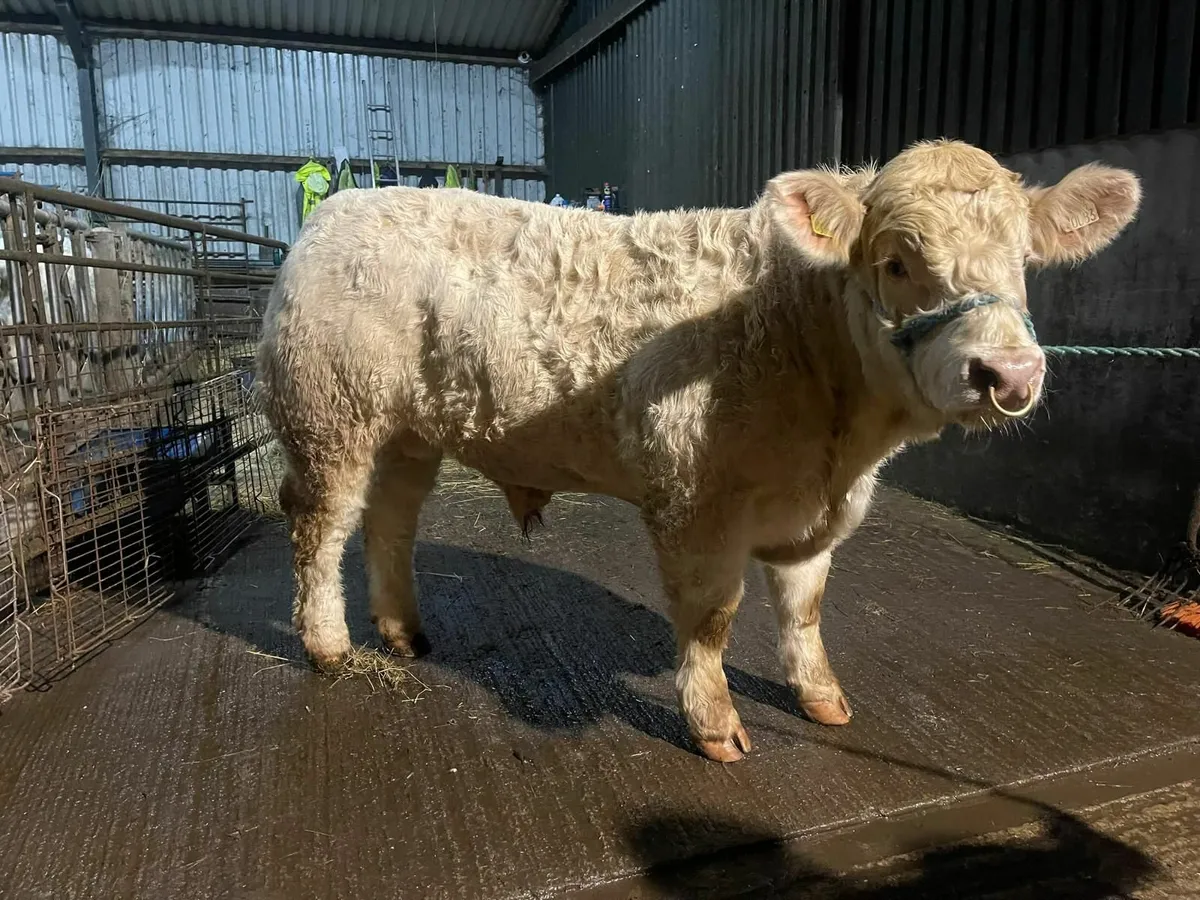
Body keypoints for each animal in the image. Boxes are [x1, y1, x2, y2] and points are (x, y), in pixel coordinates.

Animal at [255, 139, 1140, 762]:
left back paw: (402, 630)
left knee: (391, 522)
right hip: (328, 415)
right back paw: (329, 646)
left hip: (405, 433)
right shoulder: (694, 499)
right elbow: (712, 617)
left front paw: (823, 699)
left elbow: (805, 608)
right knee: (319, 526)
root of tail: (338, 208)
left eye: (1022, 261)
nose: (1008, 372)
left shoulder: (813, 511)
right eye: (895, 261)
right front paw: (714, 724)